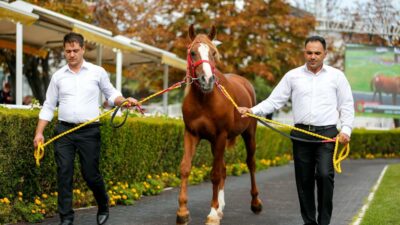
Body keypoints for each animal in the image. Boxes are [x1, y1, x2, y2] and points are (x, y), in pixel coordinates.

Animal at [177, 24, 264, 225]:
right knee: (224, 168)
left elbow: (215, 174)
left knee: (251, 163)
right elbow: (185, 168)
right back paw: (221, 207)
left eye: (213, 53)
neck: (205, 99)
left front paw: (212, 214)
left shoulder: (220, 136)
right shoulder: (192, 134)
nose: (207, 80)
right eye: (192, 52)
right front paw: (183, 212)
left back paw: (255, 203)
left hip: (249, 135)